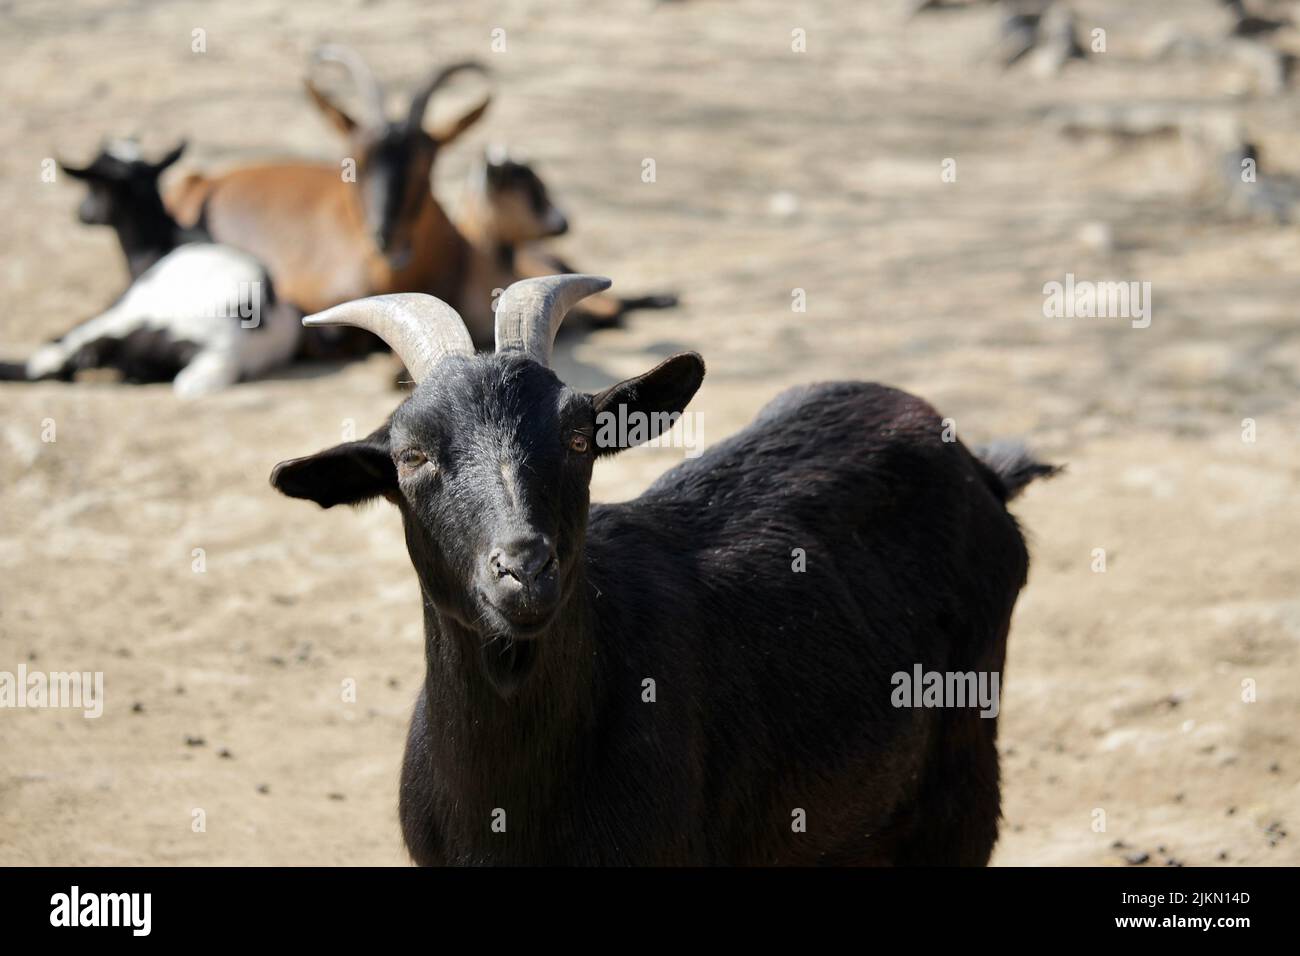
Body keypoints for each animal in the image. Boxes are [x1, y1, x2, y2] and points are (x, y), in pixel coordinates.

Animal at [0, 142, 299, 397]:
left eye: (94, 186)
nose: (81, 214)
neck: (162, 243)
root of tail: (223, 353)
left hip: (120, 320)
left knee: (49, 362)